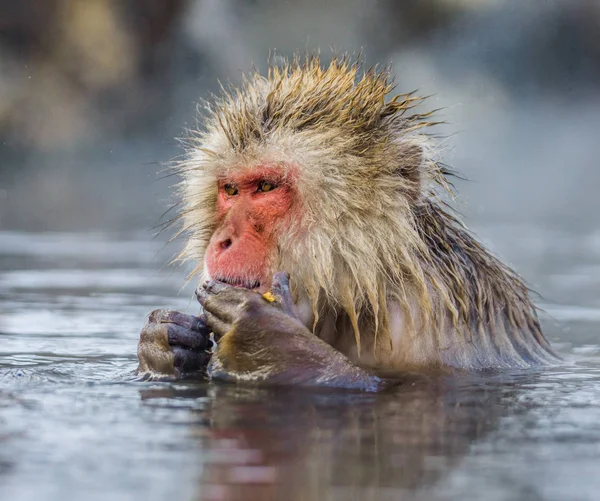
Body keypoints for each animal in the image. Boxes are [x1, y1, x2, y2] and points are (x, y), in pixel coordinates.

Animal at [137, 55, 556, 390]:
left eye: (266, 187)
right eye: (230, 190)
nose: (223, 239)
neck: (365, 287)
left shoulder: (426, 325)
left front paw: (264, 338)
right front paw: (165, 341)